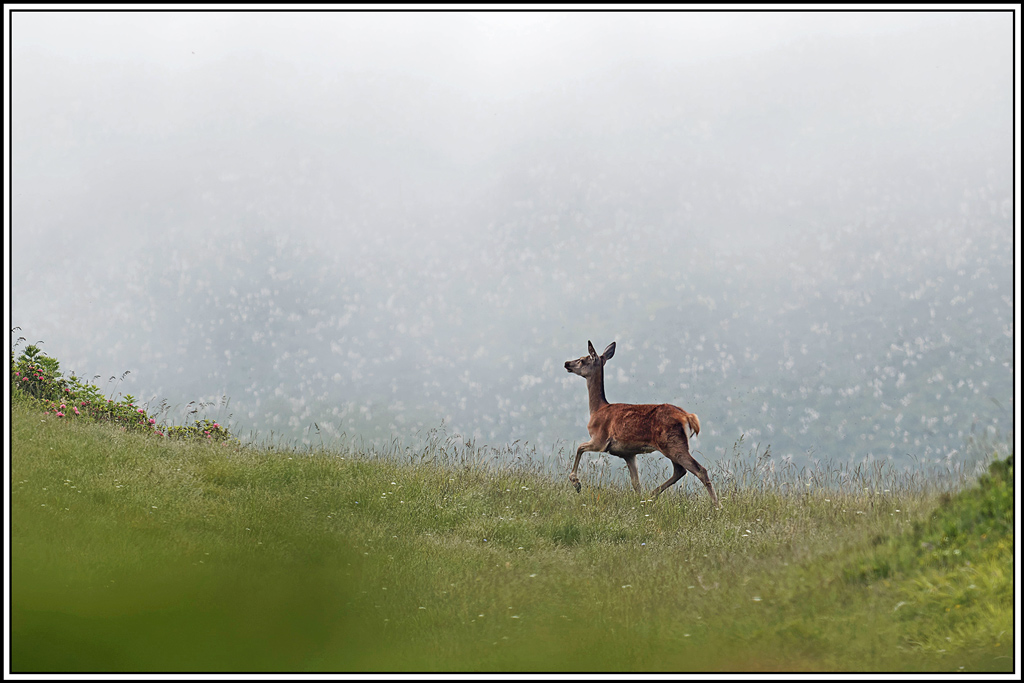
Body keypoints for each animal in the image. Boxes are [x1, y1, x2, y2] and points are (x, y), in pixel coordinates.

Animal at [563, 341, 721, 508]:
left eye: (582, 359)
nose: (566, 363)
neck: (597, 409)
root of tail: (687, 416)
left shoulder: (600, 440)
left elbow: (579, 447)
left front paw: (576, 482)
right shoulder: (628, 453)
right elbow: (636, 483)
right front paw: (639, 499)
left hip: (672, 443)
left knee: (699, 470)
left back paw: (717, 506)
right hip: (673, 444)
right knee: (680, 471)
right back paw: (651, 495)